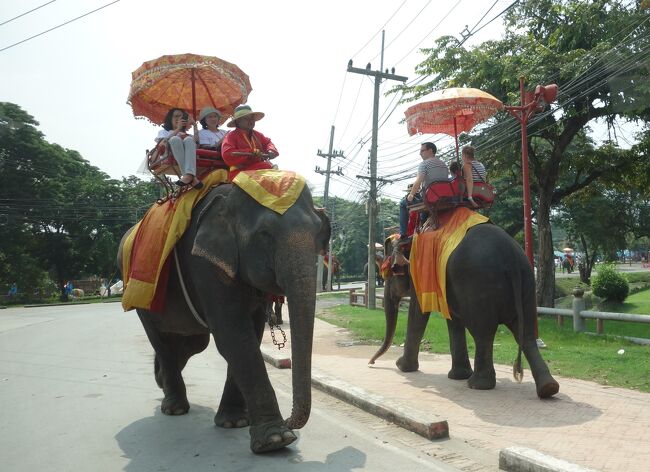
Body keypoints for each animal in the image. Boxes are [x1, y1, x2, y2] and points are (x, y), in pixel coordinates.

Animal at [117, 182, 330, 454]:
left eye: (317, 233)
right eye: (264, 234)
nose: (290, 420)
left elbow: (250, 332)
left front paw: (235, 422)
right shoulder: (202, 263)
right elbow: (234, 335)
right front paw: (276, 440)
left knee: (191, 343)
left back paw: (161, 381)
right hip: (138, 294)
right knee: (162, 341)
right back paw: (174, 408)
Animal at [370, 225, 556, 398]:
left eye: (392, 273)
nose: (371, 363)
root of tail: (511, 256)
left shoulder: (422, 276)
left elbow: (419, 313)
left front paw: (402, 366)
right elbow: (453, 320)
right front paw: (457, 376)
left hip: (477, 284)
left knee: (483, 334)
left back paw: (477, 384)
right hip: (527, 283)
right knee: (526, 333)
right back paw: (548, 388)